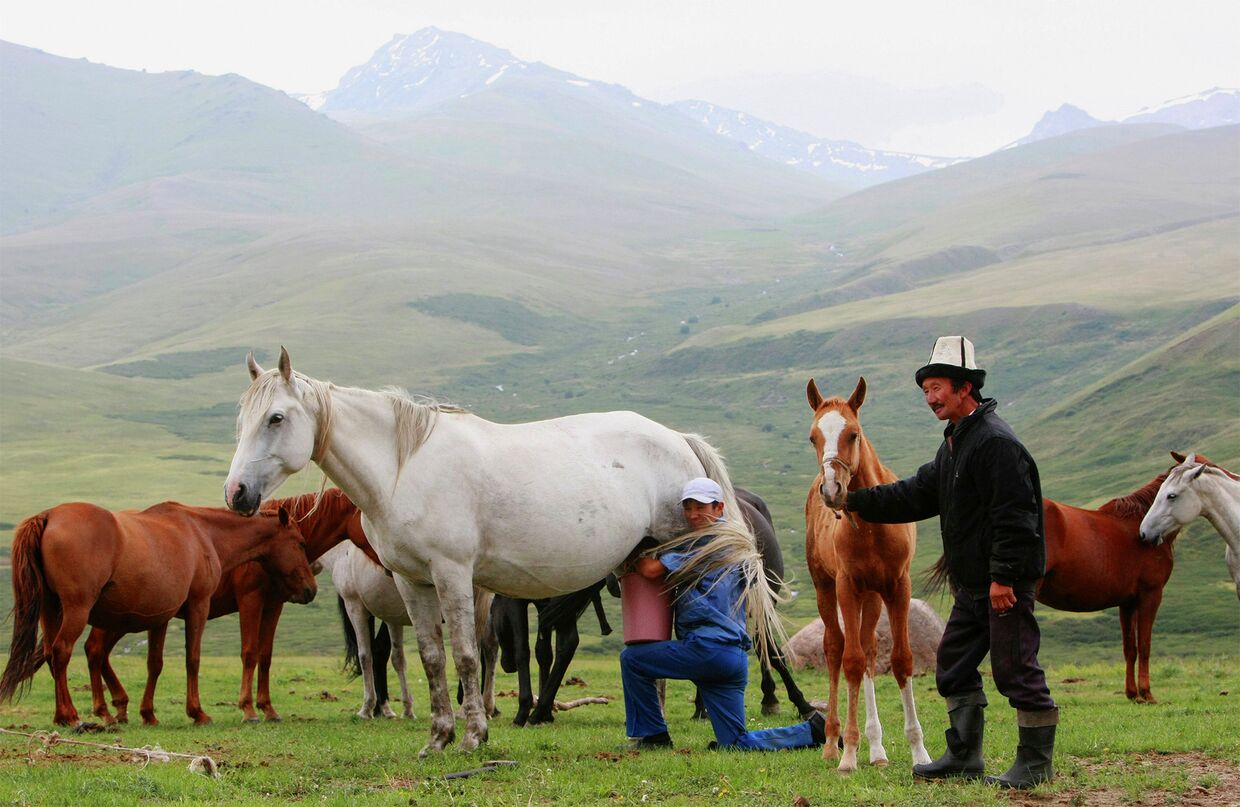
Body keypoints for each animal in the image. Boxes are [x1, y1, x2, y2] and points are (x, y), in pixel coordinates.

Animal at [0, 505, 317, 723]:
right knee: (63, 652)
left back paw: (68, 715)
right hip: (76, 610)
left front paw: (149, 714)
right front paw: (198, 712)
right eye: (300, 543)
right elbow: (193, 659)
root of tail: (49, 516)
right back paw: (73, 716)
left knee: (55, 656)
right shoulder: (198, 605)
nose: (310, 589)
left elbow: (155, 664)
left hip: (52, 610)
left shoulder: (161, 617)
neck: (202, 534)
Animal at [224, 349, 763, 758]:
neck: (404, 467)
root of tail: (678, 439)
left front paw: (473, 736)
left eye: (276, 418)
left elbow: (465, 655)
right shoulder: (412, 582)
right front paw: (437, 738)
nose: (236, 494)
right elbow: (431, 658)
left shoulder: (454, 575)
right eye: (240, 419)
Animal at [803, 381, 932, 773]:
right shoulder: (847, 586)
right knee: (836, 649)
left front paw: (919, 751)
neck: (874, 525)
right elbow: (851, 661)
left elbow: (901, 660)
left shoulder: (898, 586)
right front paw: (848, 754)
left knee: (870, 648)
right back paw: (833, 743)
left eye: (853, 434)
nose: (832, 490)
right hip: (825, 588)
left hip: (873, 596)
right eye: (813, 437)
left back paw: (876, 748)